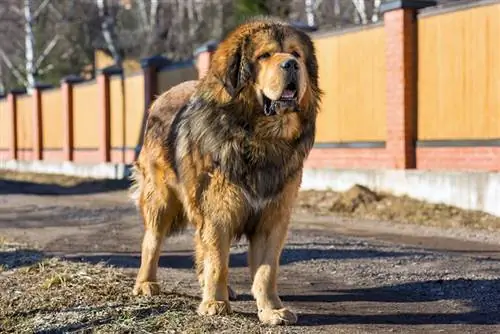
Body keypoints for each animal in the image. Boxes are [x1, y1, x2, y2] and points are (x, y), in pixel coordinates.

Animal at [130, 17, 320, 324]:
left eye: (296, 54)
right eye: (265, 55)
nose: (291, 64)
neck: (262, 139)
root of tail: (161, 97)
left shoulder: (273, 218)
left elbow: (266, 270)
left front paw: (271, 309)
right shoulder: (218, 211)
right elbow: (218, 260)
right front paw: (215, 303)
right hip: (161, 199)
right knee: (152, 241)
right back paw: (146, 283)